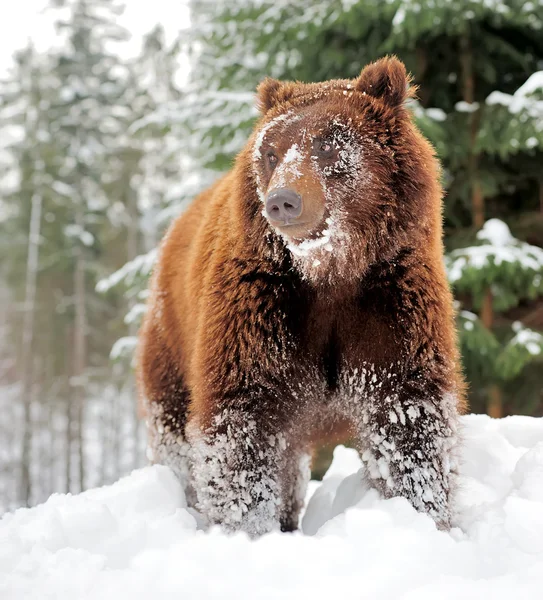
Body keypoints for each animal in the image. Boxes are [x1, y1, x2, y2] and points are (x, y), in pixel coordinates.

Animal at [138, 55, 466, 536]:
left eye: (329, 144)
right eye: (271, 152)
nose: (282, 201)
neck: (331, 273)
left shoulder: (389, 304)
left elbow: (408, 419)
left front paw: (425, 514)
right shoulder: (261, 310)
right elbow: (241, 427)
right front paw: (247, 527)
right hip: (172, 338)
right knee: (176, 432)